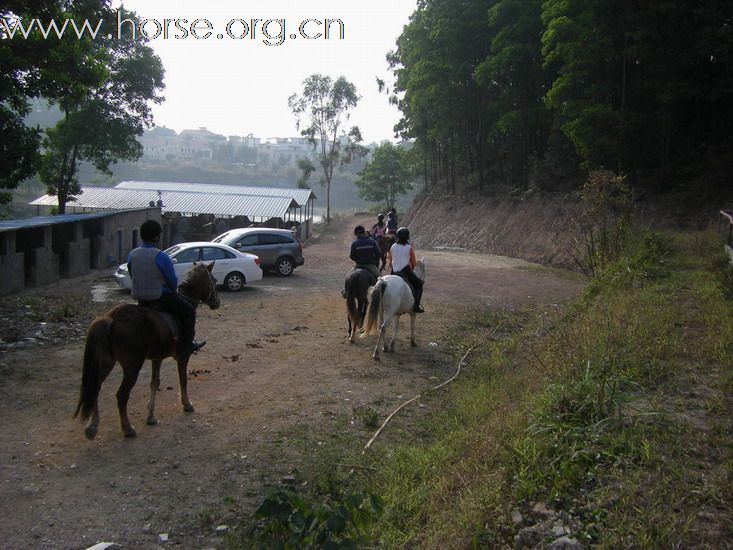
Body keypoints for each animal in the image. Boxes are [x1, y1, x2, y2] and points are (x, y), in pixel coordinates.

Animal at [73, 262, 220, 440]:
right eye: (213, 280)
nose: (217, 302)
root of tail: (110, 317)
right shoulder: (183, 356)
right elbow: (183, 380)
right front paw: (187, 404)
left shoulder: (157, 358)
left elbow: (154, 383)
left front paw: (151, 416)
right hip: (132, 366)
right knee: (121, 395)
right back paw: (127, 429)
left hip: (106, 362)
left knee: (95, 388)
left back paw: (92, 426)